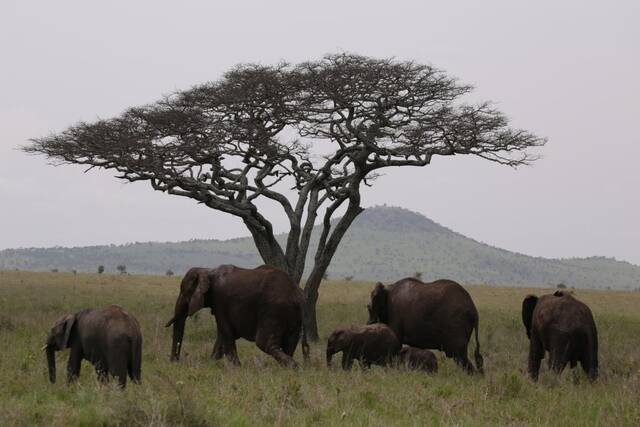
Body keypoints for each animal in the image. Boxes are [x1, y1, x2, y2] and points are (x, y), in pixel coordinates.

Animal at [166, 264, 308, 368]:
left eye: (185, 293)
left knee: (264, 343)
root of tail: (296, 294)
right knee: (289, 344)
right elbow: (222, 337)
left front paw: (237, 368)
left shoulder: (220, 301)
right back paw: (287, 368)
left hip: (274, 310)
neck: (207, 270)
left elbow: (226, 333)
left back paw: (293, 367)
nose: (175, 362)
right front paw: (211, 364)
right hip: (293, 316)